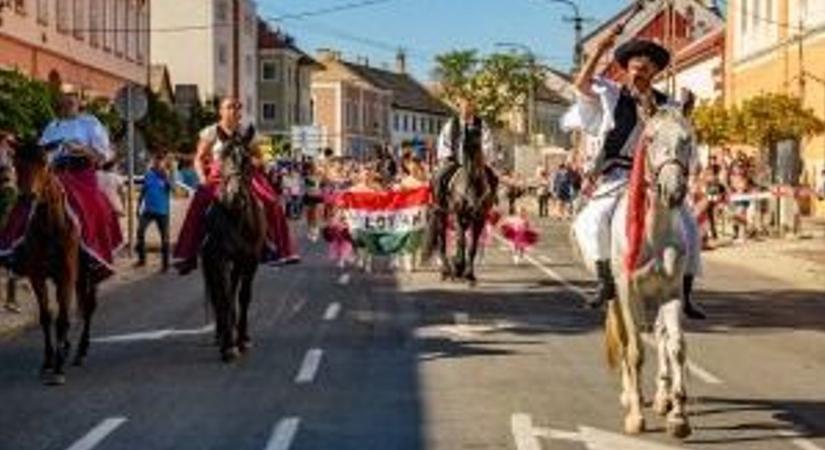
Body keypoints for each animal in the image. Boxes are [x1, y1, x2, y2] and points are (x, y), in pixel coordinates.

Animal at [11, 142, 98, 384]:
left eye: (43, 164)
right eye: (16, 163)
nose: (28, 197)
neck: (50, 225)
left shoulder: (67, 273)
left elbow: (63, 317)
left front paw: (58, 368)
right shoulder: (37, 275)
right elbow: (47, 316)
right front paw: (48, 361)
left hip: (87, 273)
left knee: (88, 307)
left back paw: (80, 351)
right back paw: (67, 347)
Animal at [200, 125, 264, 362]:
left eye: (246, 158)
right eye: (222, 156)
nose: (235, 196)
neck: (236, 216)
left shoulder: (250, 259)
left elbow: (243, 297)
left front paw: (242, 339)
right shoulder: (220, 259)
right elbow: (226, 297)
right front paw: (228, 346)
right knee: (219, 295)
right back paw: (221, 334)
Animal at [604, 107, 696, 438]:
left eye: (687, 139)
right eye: (651, 138)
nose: (674, 191)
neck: (653, 233)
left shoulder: (670, 292)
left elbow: (677, 347)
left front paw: (679, 417)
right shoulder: (628, 292)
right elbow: (635, 351)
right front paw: (635, 416)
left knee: (663, 337)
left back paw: (661, 398)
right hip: (618, 301)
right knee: (625, 340)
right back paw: (631, 394)